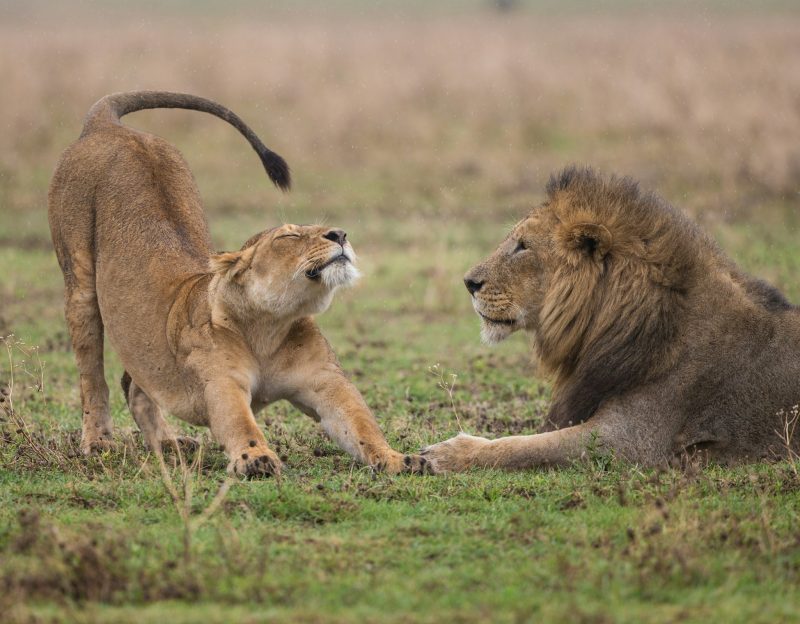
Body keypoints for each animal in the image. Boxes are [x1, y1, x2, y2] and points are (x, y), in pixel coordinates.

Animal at [47, 90, 428, 476]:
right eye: (289, 236)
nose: (340, 234)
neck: (270, 328)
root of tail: (109, 126)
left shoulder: (326, 382)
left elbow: (361, 424)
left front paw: (399, 458)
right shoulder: (221, 383)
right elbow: (239, 423)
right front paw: (256, 458)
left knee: (135, 384)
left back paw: (169, 443)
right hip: (79, 283)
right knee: (92, 375)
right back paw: (98, 442)